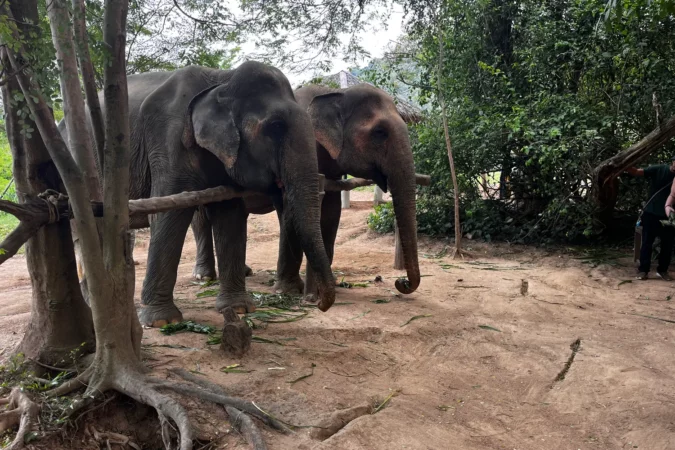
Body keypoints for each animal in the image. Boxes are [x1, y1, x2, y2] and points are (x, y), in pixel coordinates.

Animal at [64, 61, 337, 327]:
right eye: (276, 127)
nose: (318, 303)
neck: (222, 79)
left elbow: (230, 215)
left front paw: (238, 308)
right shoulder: (168, 139)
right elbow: (168, 214)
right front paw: (161, 321)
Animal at [191, 82, 421, 298]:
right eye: (380, 132)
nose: (400, 282)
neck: (336, 93)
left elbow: (331, 213)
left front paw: (330, 283)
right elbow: (291, 212)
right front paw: (288, 291)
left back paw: (244, 272)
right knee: (200, 218)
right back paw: (203, 277)